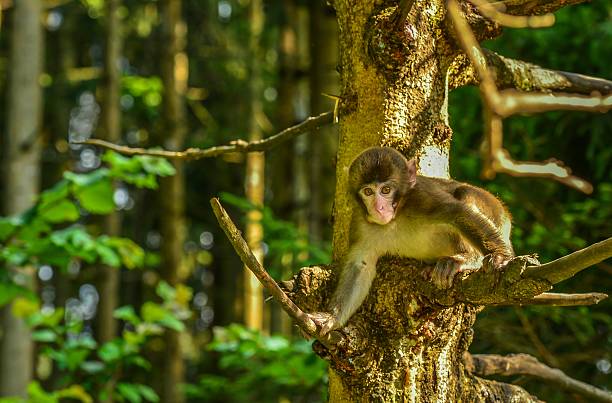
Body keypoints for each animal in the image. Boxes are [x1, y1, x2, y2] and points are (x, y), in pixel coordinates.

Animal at [308, 147, 512, 336]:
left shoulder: (422, 197)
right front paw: (330, 318)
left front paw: (499, 256)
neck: (396, 215)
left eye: (386, 190)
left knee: (465, 192)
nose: (379, 208)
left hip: (494, 211)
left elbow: (457, 213)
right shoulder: (359, 221)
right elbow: (361, 265)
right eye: (368, 192)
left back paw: (465, 258)